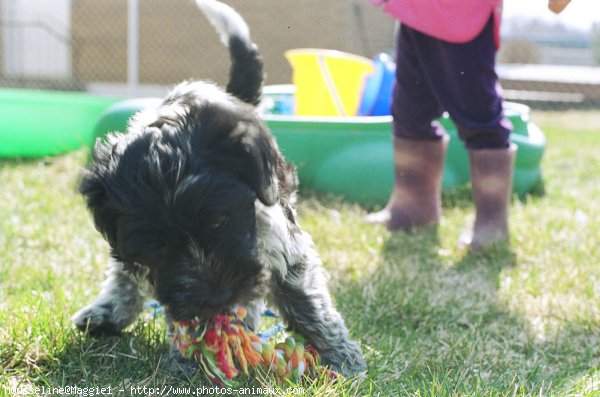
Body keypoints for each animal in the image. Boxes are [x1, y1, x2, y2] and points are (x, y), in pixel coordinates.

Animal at [73, 0, 368, 374]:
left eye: (218, 222)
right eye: (159, 246)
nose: (215, 297)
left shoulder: (278, 232)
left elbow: (303, 295)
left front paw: (340, 356)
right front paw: (193, 356)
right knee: (126, 275)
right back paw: (108, 312)